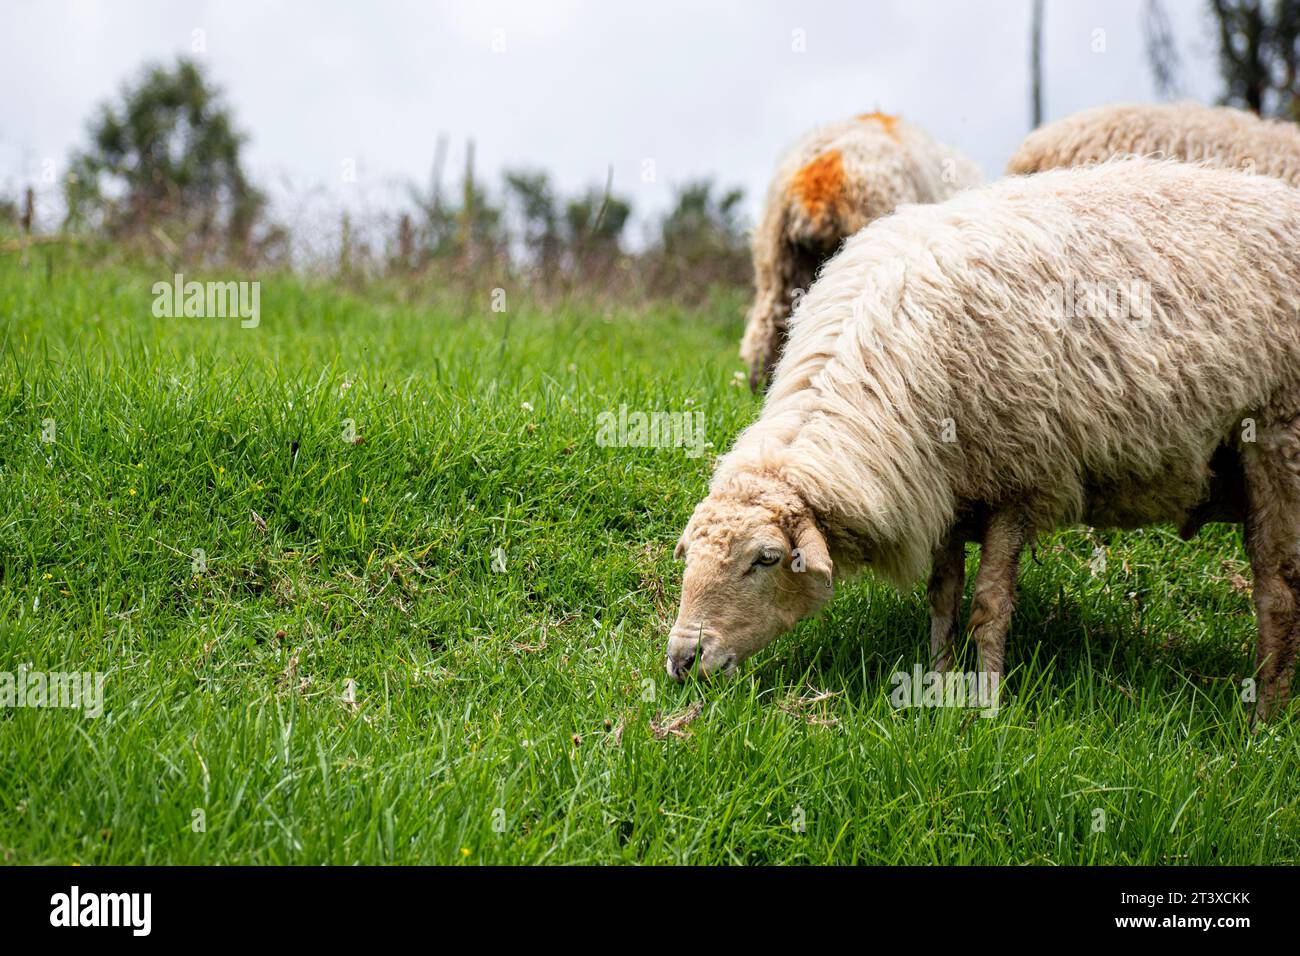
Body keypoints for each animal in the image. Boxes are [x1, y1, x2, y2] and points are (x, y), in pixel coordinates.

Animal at [668, 158, 1300, 722]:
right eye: (689, 553)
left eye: (766, 559)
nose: (681, 660)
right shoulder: (943, 485)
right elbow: (943, 596)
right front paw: (936, 681)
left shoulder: (1018, 482)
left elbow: (989, 606)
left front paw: (985, 703)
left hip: (1278, 438)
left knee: (1278, 594)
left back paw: (1262, 720)